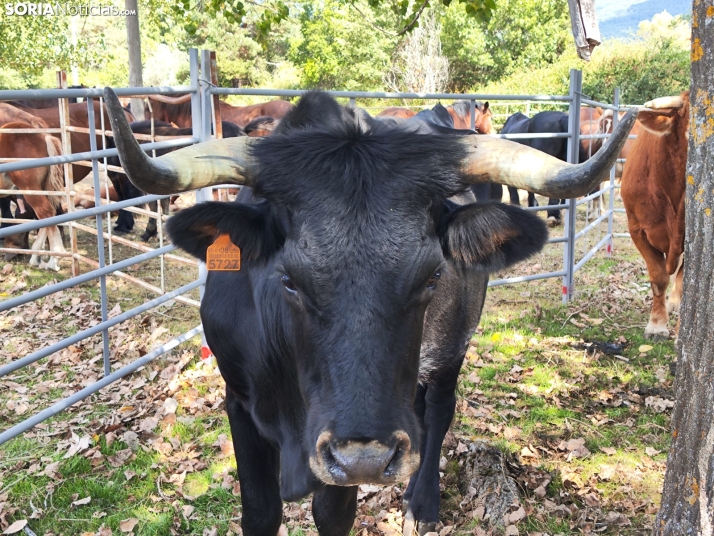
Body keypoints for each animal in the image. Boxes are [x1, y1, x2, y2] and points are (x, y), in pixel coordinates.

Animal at [103, 90, 632, 532]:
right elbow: (260, 511)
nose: (367, 461)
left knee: (438, 411)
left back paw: (423, 502)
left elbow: (332, 512)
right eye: (288, 279)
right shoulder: (239, 401)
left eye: (433, 276)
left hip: (453, 342)